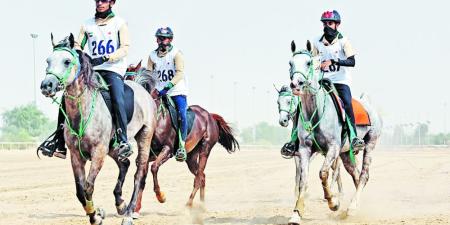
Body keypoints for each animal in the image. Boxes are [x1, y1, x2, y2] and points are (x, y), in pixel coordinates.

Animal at [40, 33, 156, 225]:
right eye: (48, 61)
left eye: (66, 61)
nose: (46, 85)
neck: (82, 113)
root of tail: (142, 89)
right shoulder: (76, 156)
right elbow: (80, 191)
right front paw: (96, 214)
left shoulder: (98, 152)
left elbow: (88, 187)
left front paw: (96, 216)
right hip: (113, 148)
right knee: (124, 163)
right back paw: (120, 204)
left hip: (144, 137)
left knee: (139, 174)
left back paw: (129, 213)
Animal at [284, 41, 384, 224]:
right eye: (290, 63)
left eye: (308, 63)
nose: (296, 84)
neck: (315, 112)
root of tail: (368, 104)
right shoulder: (304, 150)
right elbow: (303, 181)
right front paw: (296, 213)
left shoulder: (333, 148)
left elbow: (323, 173)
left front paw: (333, 203)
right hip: (346, 154)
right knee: (356, 174)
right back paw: (353, 207)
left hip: (370, 143)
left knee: (364, 175)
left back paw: (352, 208)